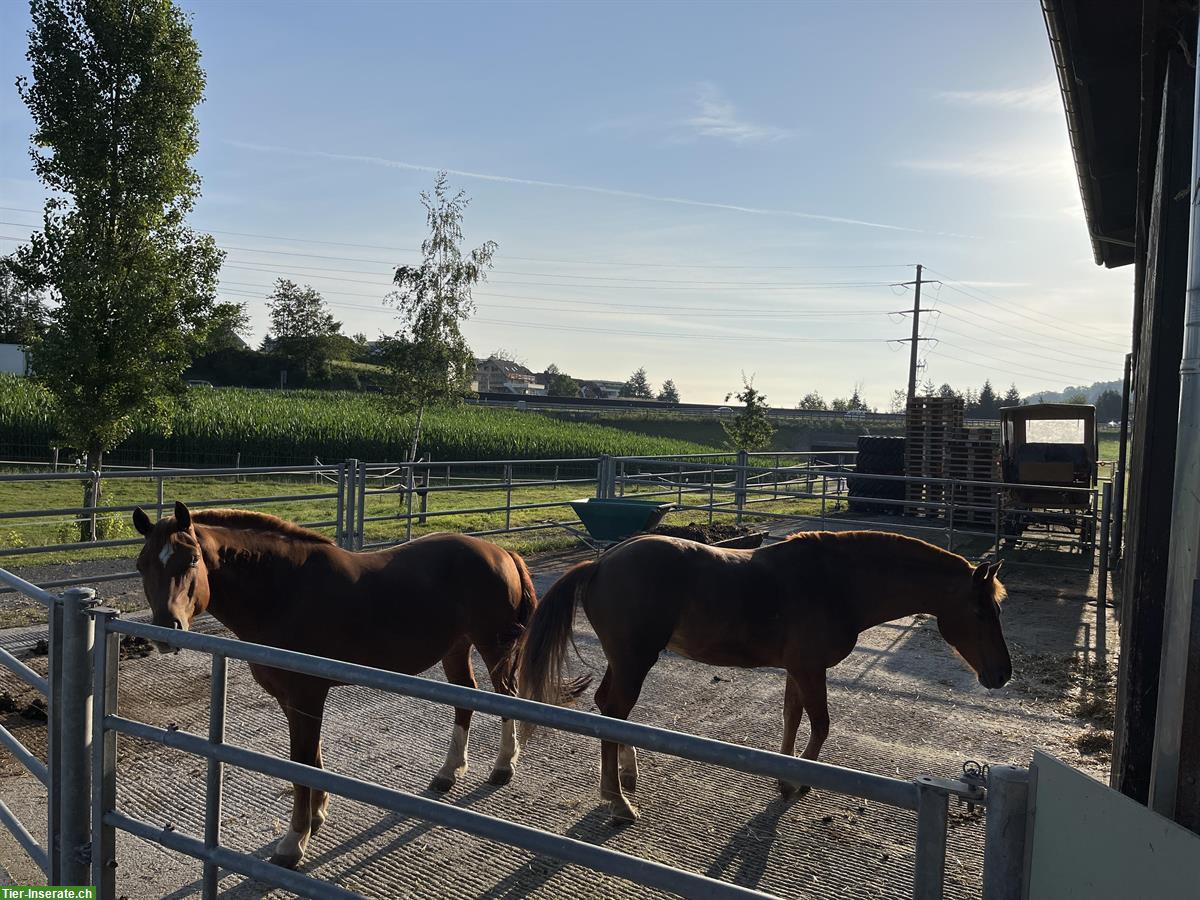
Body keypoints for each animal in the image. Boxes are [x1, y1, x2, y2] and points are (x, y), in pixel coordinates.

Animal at [130, 504, 535, 868]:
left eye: (191, 560)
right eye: (141, 565)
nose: (166, 630)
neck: (283, 591)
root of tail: (503, 553)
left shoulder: (306, 695)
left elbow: (301, 763)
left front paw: (294, 842)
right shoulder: (293, 699)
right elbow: (312, 758)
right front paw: (317, 815)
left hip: (494, 647)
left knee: (506, 697)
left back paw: (503, 767)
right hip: (456, 647)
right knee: (465, 699)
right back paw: (449, 773)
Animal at [518, 532, 1012, 830]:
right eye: (982, 610)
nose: (1002, 674)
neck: (837, 583)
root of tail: (602, 562)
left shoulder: (798, 669)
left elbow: (793, 718)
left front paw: (785, 777)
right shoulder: (811, 669)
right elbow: (821, 725)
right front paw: (800, 782)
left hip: (625, 661)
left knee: (611, 709)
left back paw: (627, 776)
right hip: (634, 660)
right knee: (616, 711)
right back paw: (619, 801)